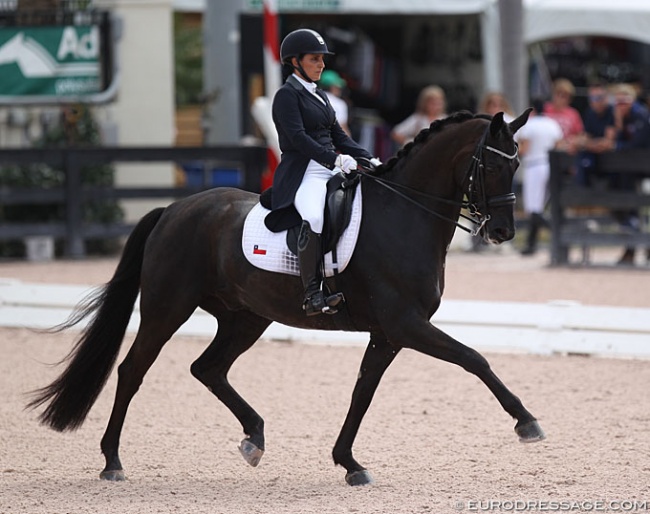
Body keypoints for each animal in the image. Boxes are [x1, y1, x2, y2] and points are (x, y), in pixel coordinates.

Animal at [26, 108, 540, 484]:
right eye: (492, 164)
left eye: (517, 163)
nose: (503, 232)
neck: (403, 214)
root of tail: (173, 208)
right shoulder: (406, 324)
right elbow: (474, 358)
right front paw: (526, 422)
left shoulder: (388, 333)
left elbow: (363, 392)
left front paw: (349, 463)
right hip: (166, 309)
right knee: (133, 370)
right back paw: (112, 461)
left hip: (246, 317)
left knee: (208, 368)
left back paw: (254, 437)